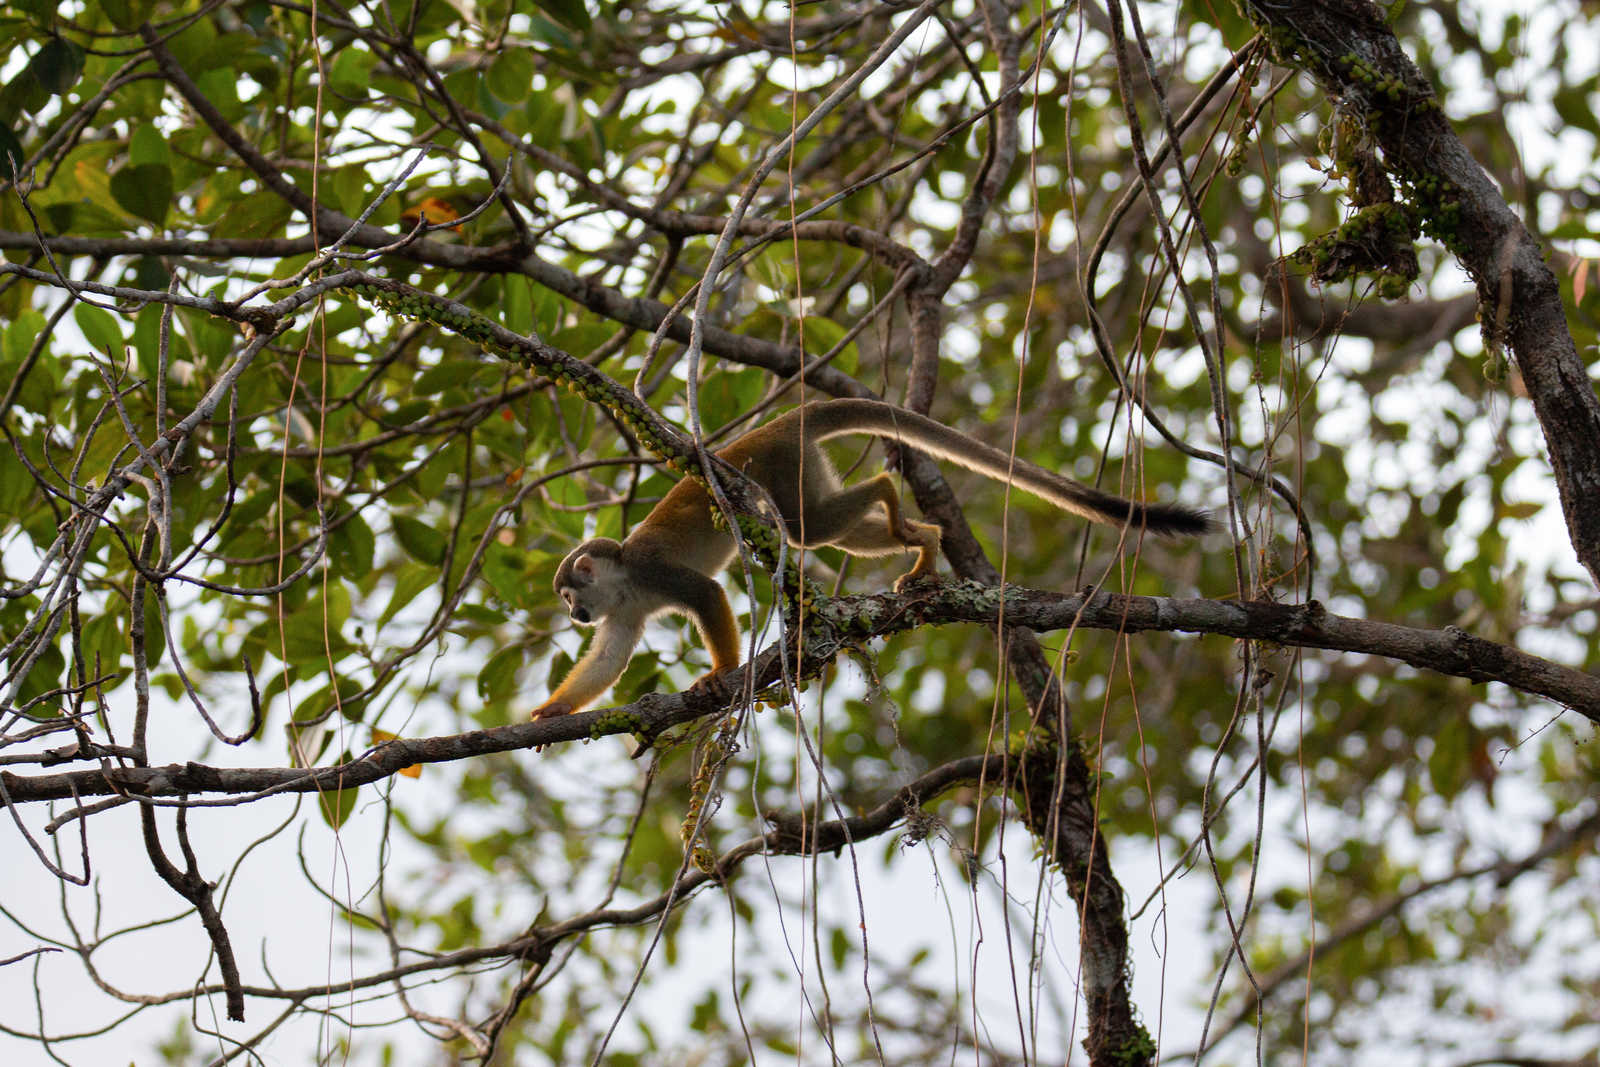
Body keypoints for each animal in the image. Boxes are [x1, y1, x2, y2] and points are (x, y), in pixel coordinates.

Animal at [529, 398, 1208, 721]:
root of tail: (779, 423)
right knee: (823, 531)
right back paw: (927, 539)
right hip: (802, 467)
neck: (623, 582)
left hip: (782, 466)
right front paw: (555, 709)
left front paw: (719, 672)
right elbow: (610, 658)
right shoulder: (623, 609)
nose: (573, 615)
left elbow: (707, 595)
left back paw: (891, 494)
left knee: (805, 527)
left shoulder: (651, 570)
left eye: (568, 594)